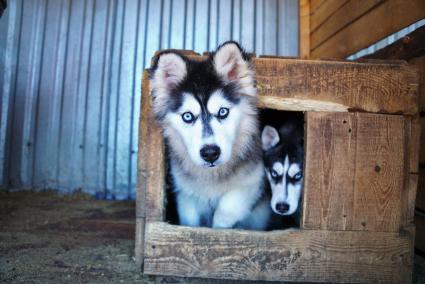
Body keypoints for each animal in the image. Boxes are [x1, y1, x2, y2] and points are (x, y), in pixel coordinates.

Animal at [149, 41, 268, 230]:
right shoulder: (185, 194)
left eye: (223, 112)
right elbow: (190, 221)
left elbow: (225, 212)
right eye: (187, 116)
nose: (210, 153)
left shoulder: (253, 182)